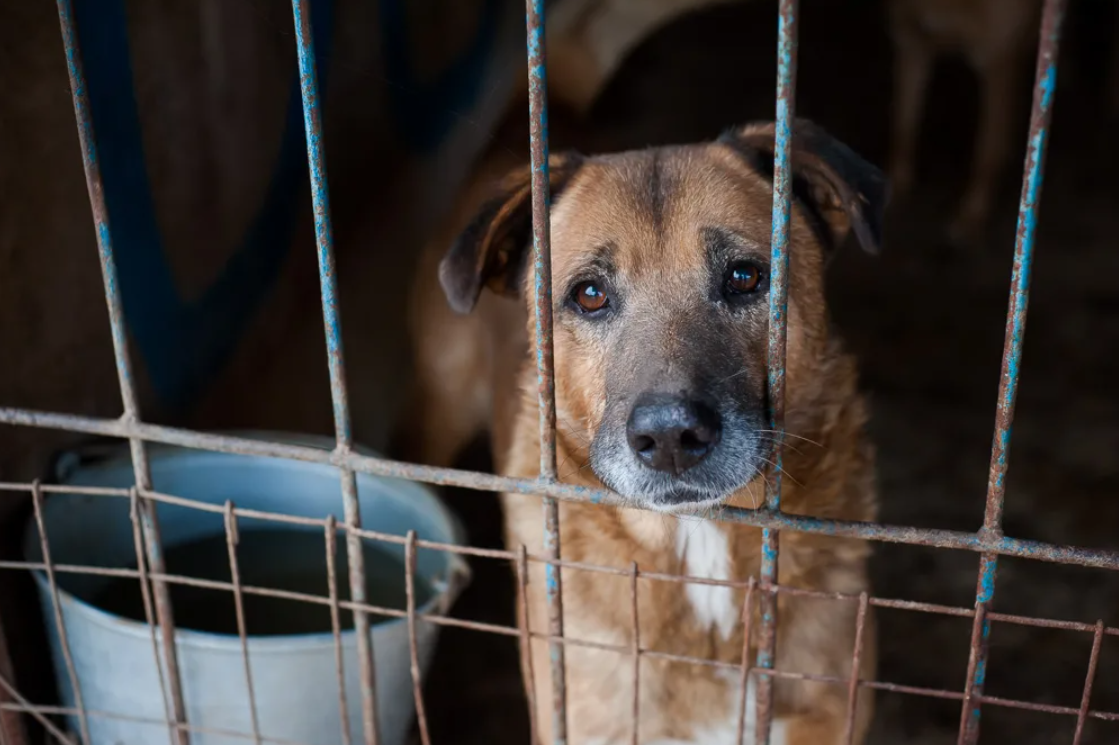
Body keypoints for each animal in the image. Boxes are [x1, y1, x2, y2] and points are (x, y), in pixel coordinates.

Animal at [886, 0, 1042, 240]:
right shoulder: (911, 44)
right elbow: (904, 127)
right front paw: (893, 186)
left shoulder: (998, 60)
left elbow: (986, 152)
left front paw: (972, 217)